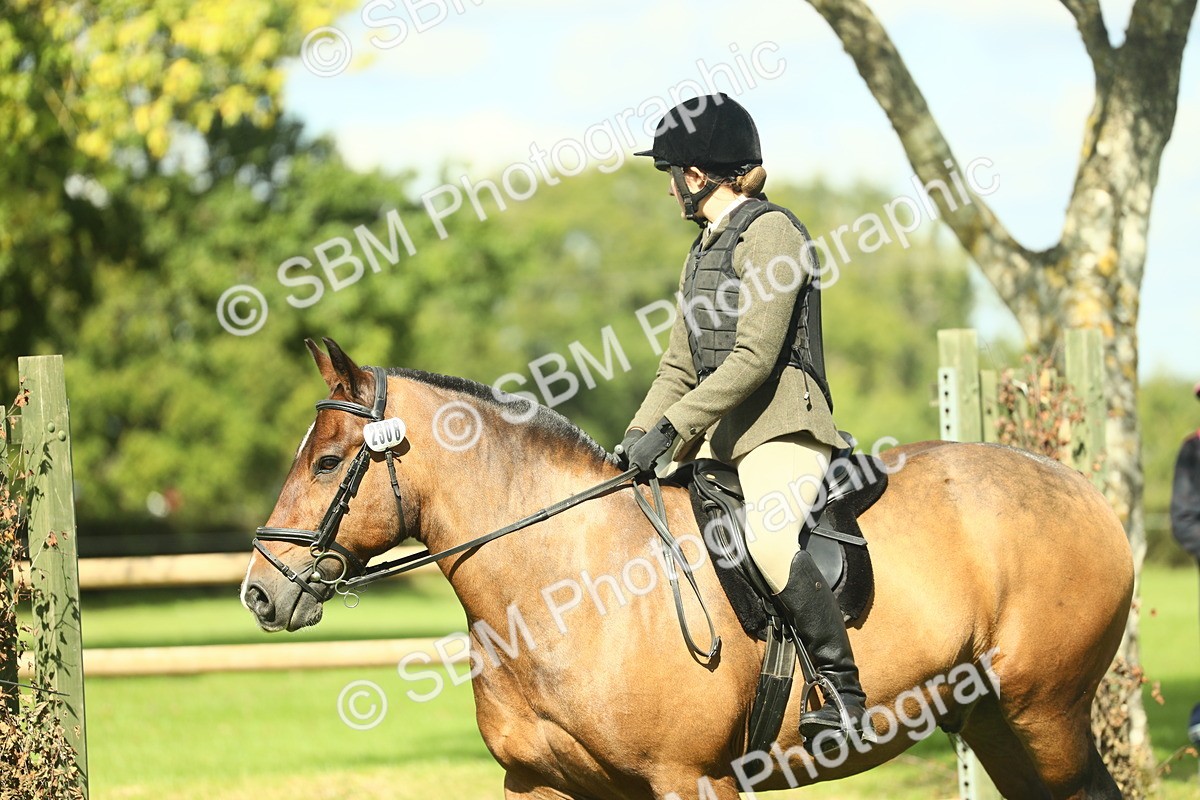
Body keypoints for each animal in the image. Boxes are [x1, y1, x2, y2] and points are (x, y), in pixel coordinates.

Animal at [241, 339, 1133, 800]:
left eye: (326, 463)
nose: (259, 591)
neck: (559, 590)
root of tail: (1080, 489)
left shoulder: (689, 781)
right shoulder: (539, 786)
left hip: (1044, 717)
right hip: (994, 724)